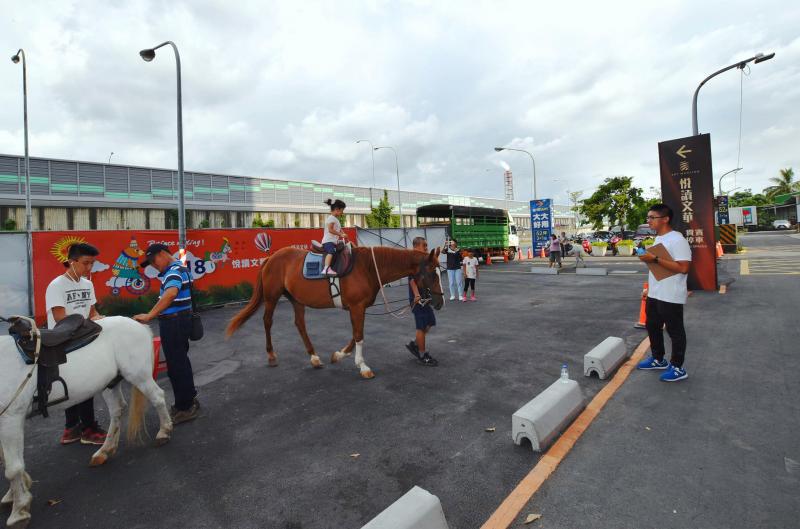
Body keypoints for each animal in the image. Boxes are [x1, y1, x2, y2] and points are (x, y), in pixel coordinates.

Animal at [0, 316, 173, 524]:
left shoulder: (11, 418)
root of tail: (138, 324)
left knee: (158, 397)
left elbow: (13, 467)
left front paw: (19, 510)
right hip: (110, 383)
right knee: (117, 410)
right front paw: (13, 495)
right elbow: (7, 461)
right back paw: (104, 451)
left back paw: (164, 432)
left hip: (139, 376)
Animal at [225, 245, 444, 378]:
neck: (367, 268)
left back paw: (314, 357)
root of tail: (272, 257)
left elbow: (355, 335)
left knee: (300, 324)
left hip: (296, 299)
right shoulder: (356, 307)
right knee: (267, 321)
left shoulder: (358, 308)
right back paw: (271, 355)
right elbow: (359, 335)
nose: (440, 301)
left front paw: (339, 355)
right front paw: (363, 366)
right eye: (433, 274)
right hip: (271, 297)